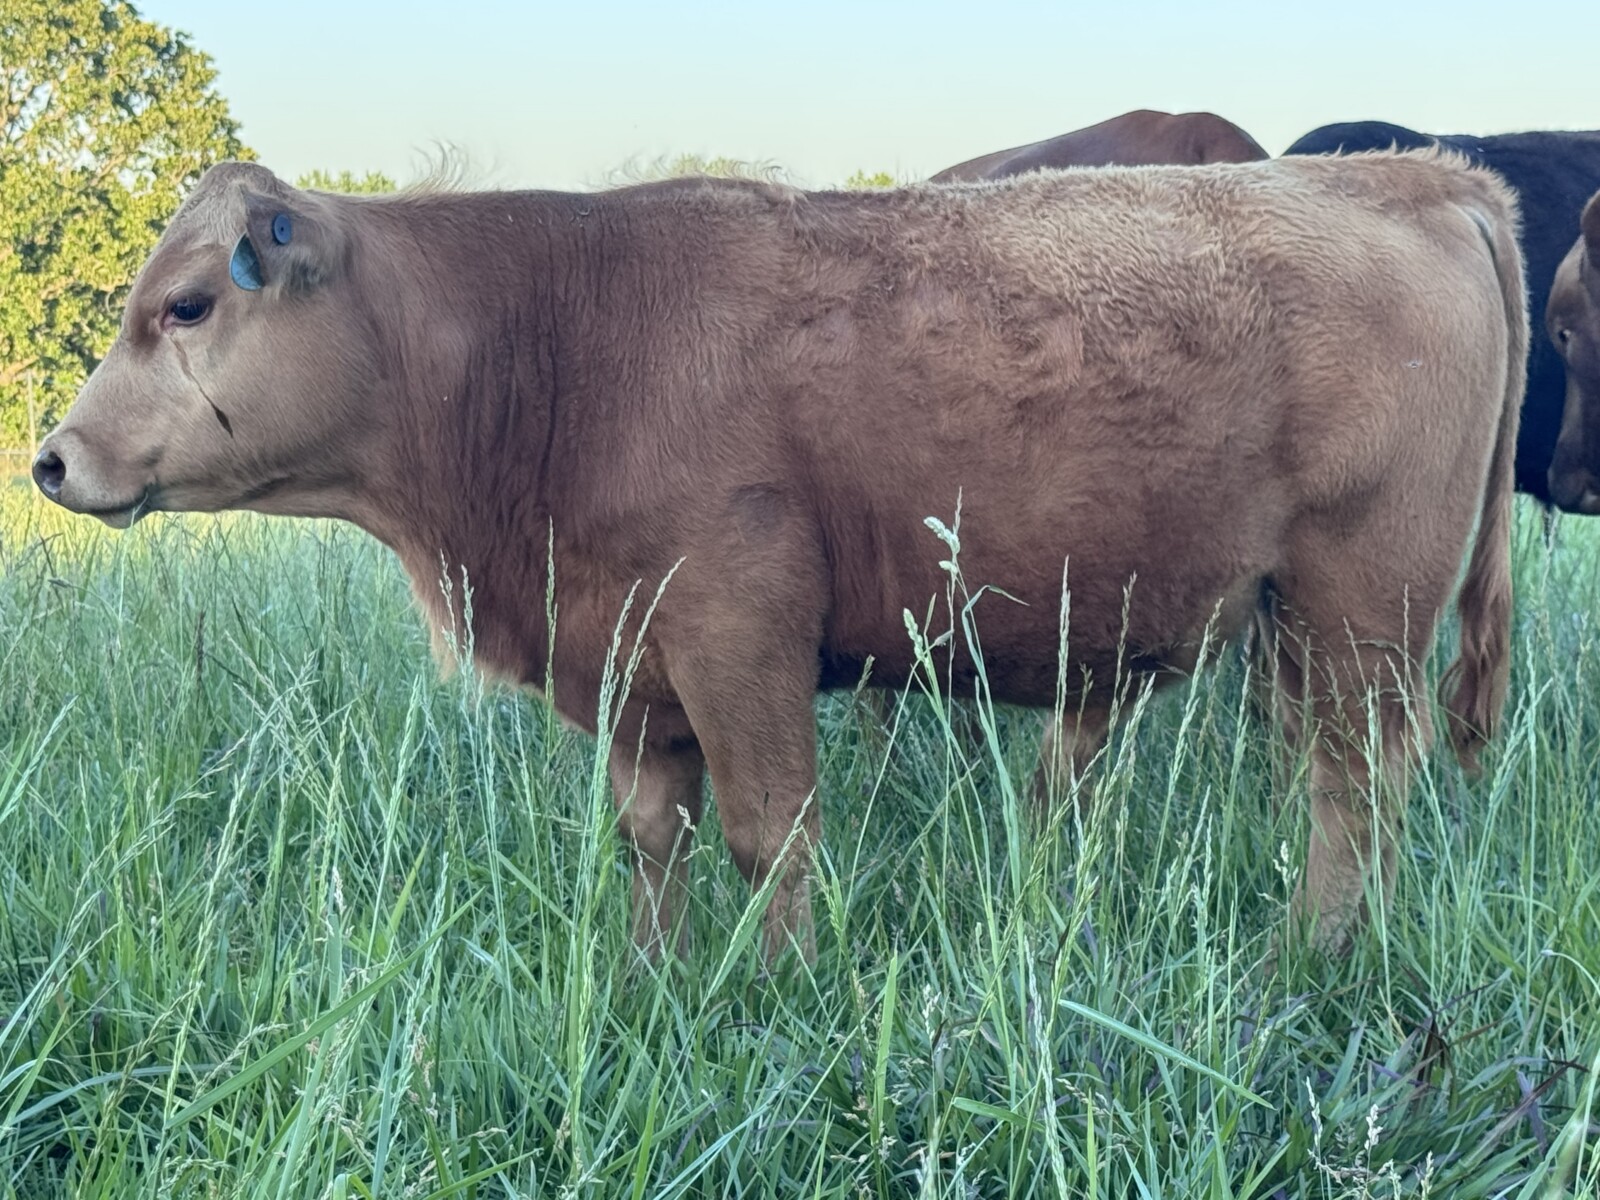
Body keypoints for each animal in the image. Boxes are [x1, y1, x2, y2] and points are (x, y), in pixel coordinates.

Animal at [32, 153, 1523, 964]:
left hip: (1360, 612)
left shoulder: (737, 637)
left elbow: (770, 834)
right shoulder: (630, 671)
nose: (52, 459)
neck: (556, 336)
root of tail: (1412, 173)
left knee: (1351, 793)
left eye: (187, 304)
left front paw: (778, 984)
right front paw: (655, 980)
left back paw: (1309, 959)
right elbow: (653, 838)